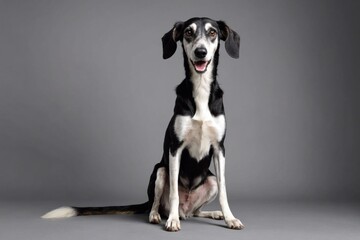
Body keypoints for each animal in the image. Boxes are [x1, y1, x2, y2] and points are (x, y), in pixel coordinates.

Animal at [43, 16, 245, 231]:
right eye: (188, 33)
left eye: (212, 32)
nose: (201, 52)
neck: (200, 88)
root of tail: (186, 209)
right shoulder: (175, 148)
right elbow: (174, 192)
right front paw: (172, 220)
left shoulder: (219, 148)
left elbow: (224, 191)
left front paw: (230, 218)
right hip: (160, 171)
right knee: (158, 203)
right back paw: (158, 215)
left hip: (210, 180)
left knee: (196, 211)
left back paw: (213, 213)